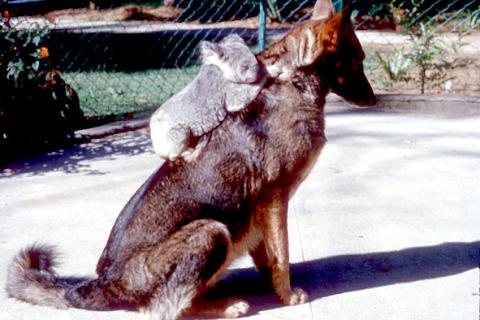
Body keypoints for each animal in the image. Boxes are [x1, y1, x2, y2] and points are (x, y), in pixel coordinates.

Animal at [5, 1, 376, 318]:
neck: (293, 84)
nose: (374, 101)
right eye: (358, 59)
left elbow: (269, 257)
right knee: (165, 310)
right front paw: (286, 296)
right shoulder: (275, 199)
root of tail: (102, 284)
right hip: (212, 231)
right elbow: (282, 255)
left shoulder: (261, 210)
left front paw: (273, 287)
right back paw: (225, 307)